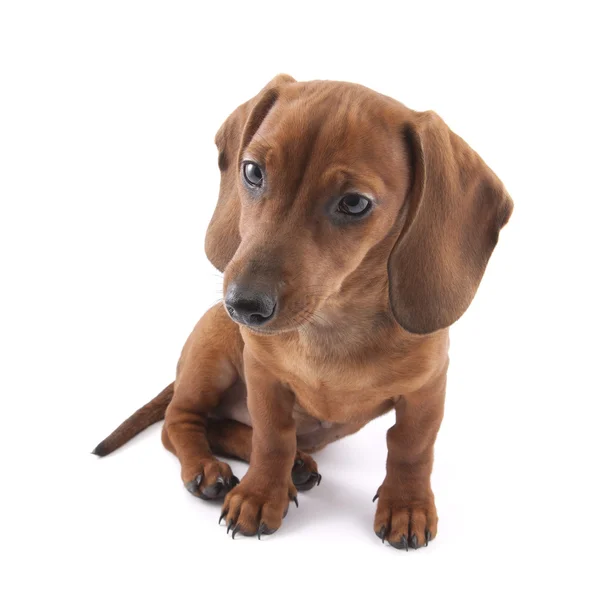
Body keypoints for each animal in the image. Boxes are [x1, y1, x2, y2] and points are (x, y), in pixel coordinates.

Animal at [92, 75, 510, 552]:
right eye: (252, 172)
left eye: (354, 203)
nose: (242, 306)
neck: (331, 325)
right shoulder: (264, 375)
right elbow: (273, 438)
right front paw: (258, 495)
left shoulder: (426, 389)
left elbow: (411, 446)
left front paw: (407, 505)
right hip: (210, 357)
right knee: (179, 422)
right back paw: (208, 469)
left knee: (220, 427)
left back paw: (292, 464)